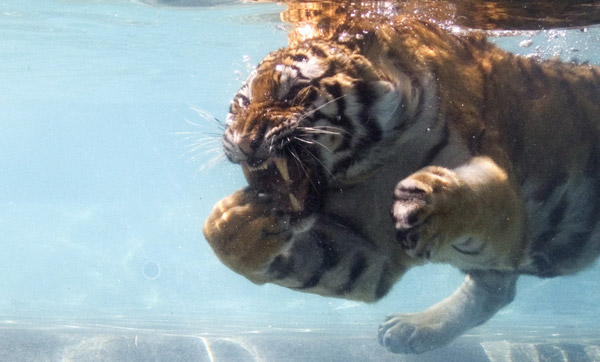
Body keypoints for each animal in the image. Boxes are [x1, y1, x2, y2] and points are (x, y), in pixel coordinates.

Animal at [200, 2, 600, 354]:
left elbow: (479, 196)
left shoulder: (509, 214)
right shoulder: (375, 256)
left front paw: (435, 206)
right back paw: (412, 329)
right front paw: (233, 223)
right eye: (242, 104)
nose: (244, 142)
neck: (374, 162)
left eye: (293, 92)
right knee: (497, 288)